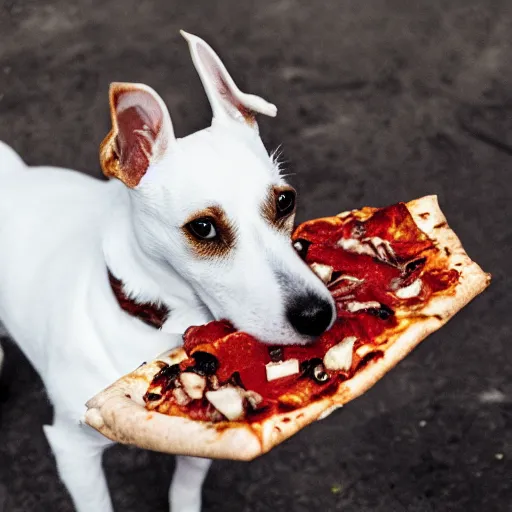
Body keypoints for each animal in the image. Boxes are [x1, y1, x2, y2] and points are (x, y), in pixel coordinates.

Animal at [0, 33, 336, 512]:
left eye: (285, 201)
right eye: (203, 227)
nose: (316, 316)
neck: (155, 320)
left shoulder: (202, 433)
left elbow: (186, 483)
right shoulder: (72, 449)